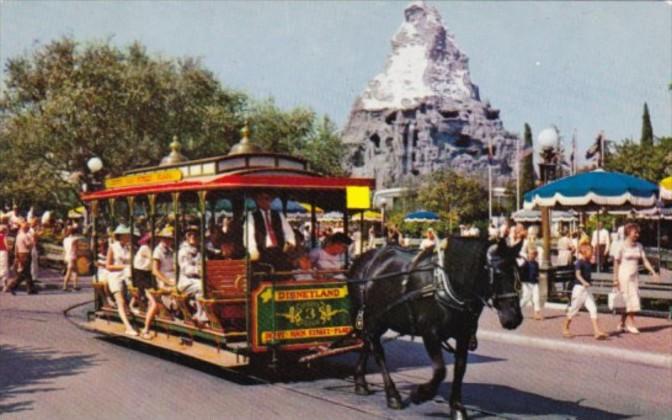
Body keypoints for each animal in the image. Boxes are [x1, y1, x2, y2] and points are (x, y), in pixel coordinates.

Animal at [346, 238, 524, 418]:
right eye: (499, 273)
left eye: (518, 273)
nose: (514, 317)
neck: (444, 284)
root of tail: (364, 258)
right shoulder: (430, 332)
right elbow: (440, 371)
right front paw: (420, 394)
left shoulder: (464, 334)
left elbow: (460, 368)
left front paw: (457, 407)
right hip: (372, 318)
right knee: (378, 352)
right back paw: (393, 395)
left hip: (378, 320)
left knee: (367, 342)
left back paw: (360, 381)